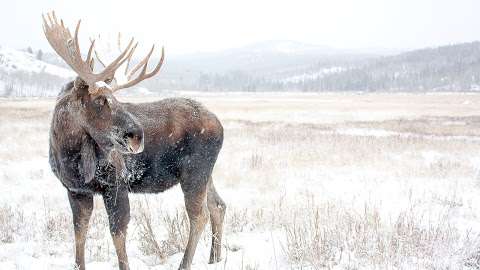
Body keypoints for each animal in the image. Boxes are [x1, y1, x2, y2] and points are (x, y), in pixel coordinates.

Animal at [43, 11, 227, 270]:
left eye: (115, 98)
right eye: (99, 100)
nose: (137, 134)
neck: (67, 154)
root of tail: (220, 125)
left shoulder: (116, 183)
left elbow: (118, 233)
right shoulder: (75, 189)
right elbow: (79, 233)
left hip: (195, 170)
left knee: (199, 216)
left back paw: (186, 264)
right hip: (205, 173)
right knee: (218, 205)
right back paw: (214, 258)